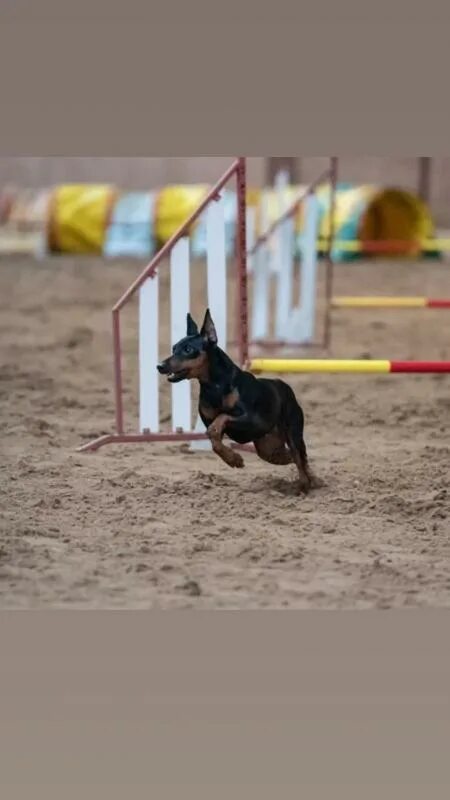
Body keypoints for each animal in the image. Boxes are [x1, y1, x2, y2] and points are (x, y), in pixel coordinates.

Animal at [156, 308, 318, 490]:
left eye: (188, 349)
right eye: (174, 348)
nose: (160, 366)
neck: (215, 386)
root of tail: (285, 387)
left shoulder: (252, 419)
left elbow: (221, 419)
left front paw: (234, 458)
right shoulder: (212, 421)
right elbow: (213, 437)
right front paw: (233, 459)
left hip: (292, 432)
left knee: (299, 457)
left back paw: (306, 483)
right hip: (268, 448)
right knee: (290, 457)